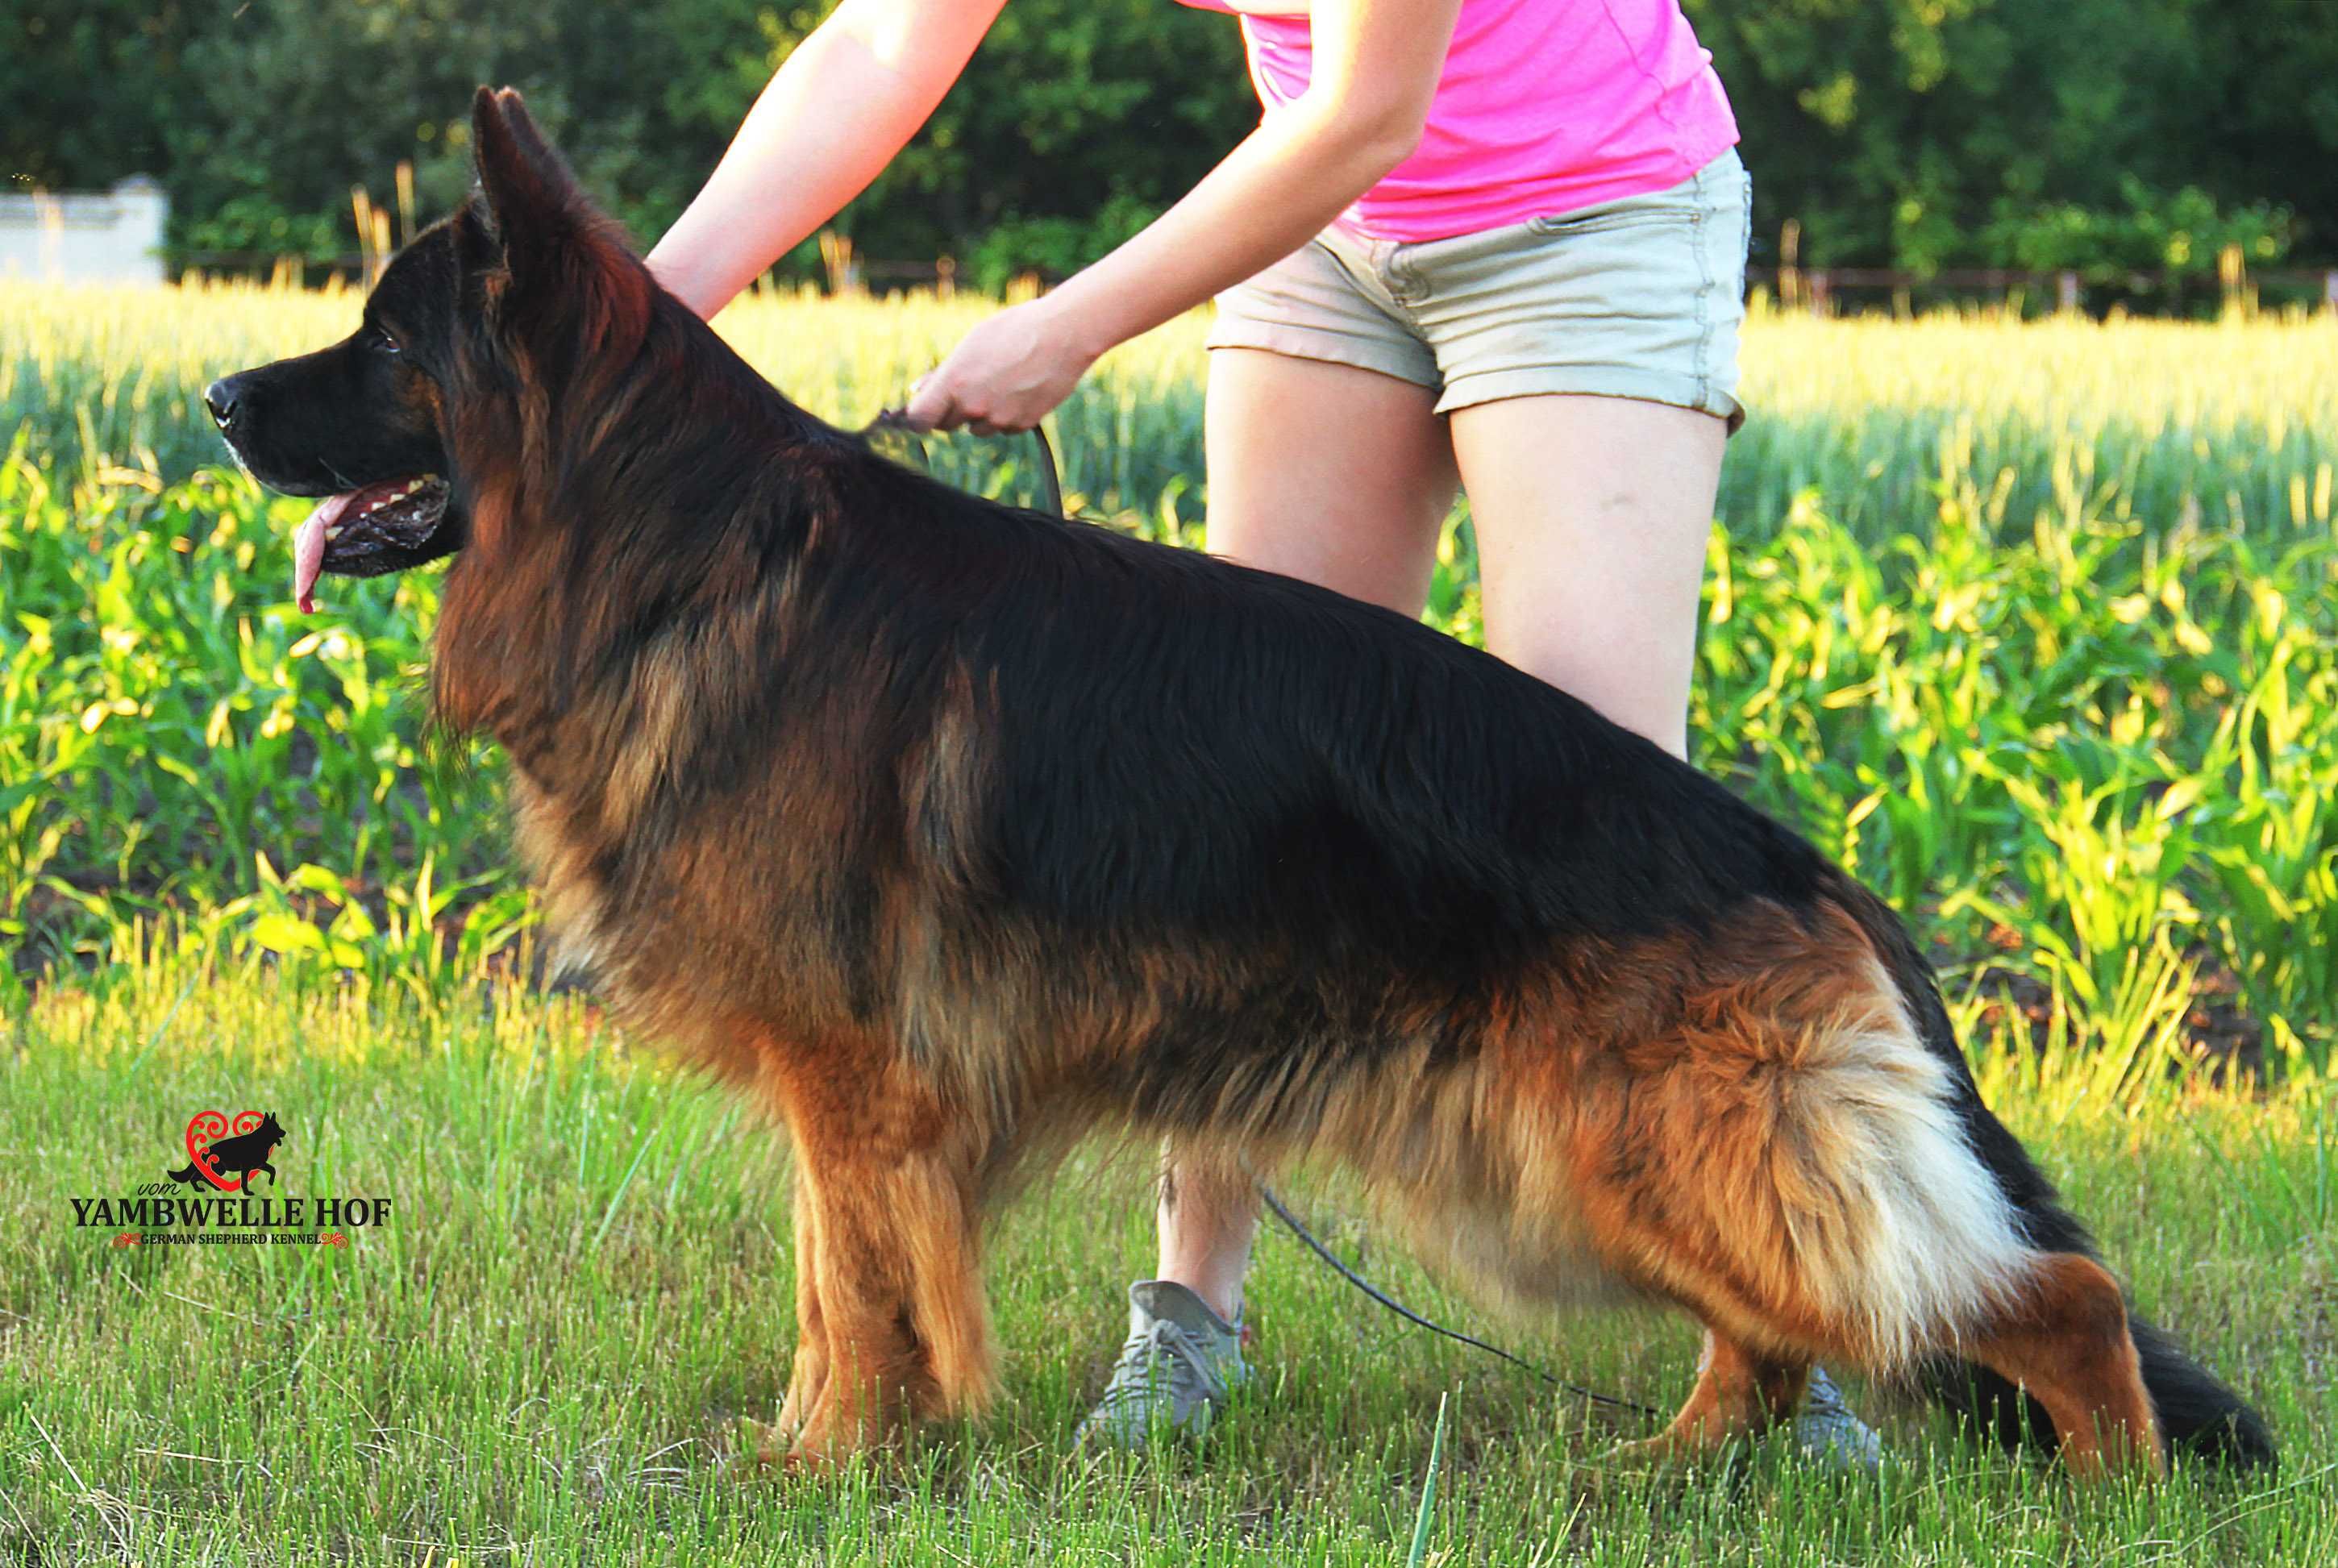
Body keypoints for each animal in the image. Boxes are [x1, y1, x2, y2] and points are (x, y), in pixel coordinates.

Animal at [210, 85, 2272, 1476]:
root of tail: (1796, 858)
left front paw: (829, 1465)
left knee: (2042, 1301)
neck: (679, 551)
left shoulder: (851, 1072)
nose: (216, 402)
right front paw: (833, 1446)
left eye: (384, 338)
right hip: (1587, 1156)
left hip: (1643, 1140)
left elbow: (850, 1284)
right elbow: (836, 1278)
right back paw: (1678, 1466)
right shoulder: (855, 1083)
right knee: (1789, 1325)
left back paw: (2105, 1492)